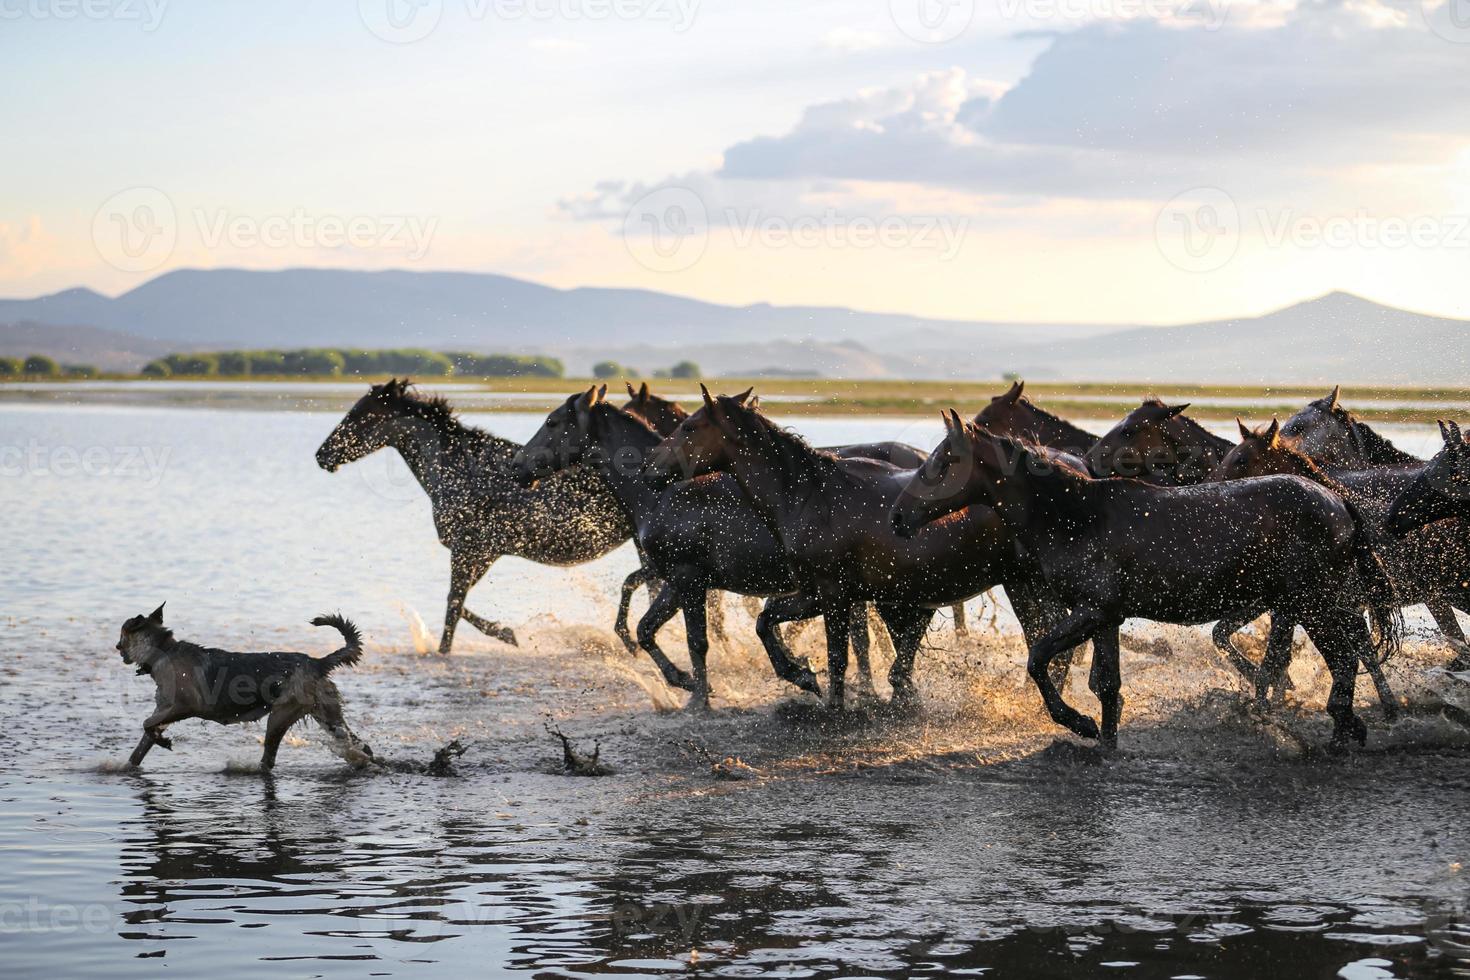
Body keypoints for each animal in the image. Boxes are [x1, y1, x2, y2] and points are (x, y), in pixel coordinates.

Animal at [117, 605, 376, 775]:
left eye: (122, 635)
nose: (117, 647)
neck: (163, 651)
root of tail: (318, 662)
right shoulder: (164, 710)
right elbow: (143, 742)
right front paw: (129, 765)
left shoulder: (185, 706)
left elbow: (146, 725)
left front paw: (163, 741)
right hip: (328, 715)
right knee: (362, 745)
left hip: (280, 715)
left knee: (269, 759)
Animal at [893, 417, 1399, 746]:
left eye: (942, 462)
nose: (898, 518)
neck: (1074, 515)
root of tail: (1336, 501)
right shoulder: (1106, 618)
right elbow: (1107, 686)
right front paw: (1104, 740)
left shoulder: (1091, 612)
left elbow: (1039, 660)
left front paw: (1079, 723)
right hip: (1311, 604)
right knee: (1345, 657)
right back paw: (1348, 727)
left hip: (1314, 602)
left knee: (1346, 658)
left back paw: (1345, 728)